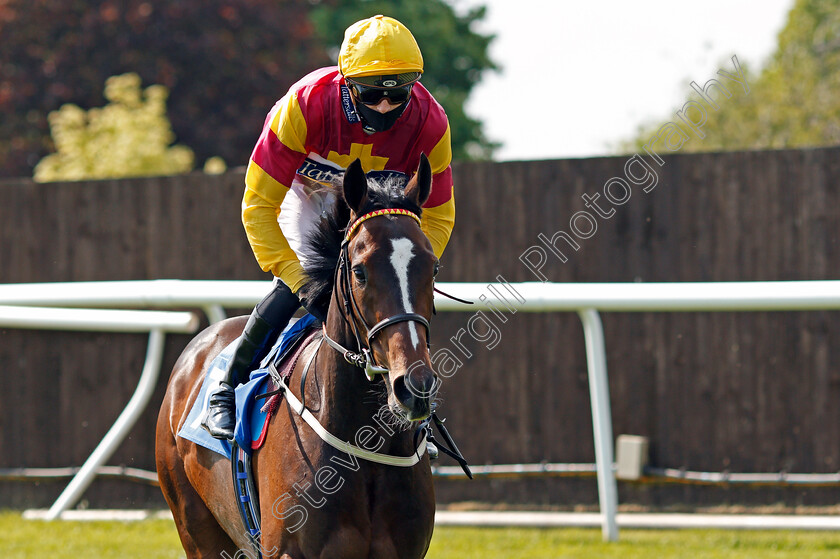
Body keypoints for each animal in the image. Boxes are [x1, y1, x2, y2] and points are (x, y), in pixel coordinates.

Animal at [156, 156, 440, 559]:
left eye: (433, 267)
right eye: (359, 271)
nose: (414, 387)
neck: (363, 444)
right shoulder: (288, 551)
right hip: (194, 525)